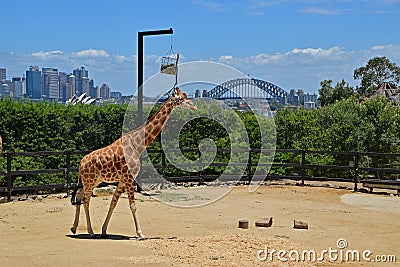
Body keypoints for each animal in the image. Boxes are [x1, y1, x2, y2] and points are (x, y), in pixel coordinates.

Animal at [70, 87, 198, 239]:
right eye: (181, 98)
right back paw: (90, 232)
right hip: (89, 181)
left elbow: (113, 203)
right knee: (86, 200)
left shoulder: (122, 180)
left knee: (79, 196)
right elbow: (133, 206)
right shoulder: (129, 178)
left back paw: (74, 228)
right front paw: (140, 233)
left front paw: (104, 230)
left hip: (91, 181)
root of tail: (80, 164)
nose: (195, 106)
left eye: (186, 95)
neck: (138, 146)